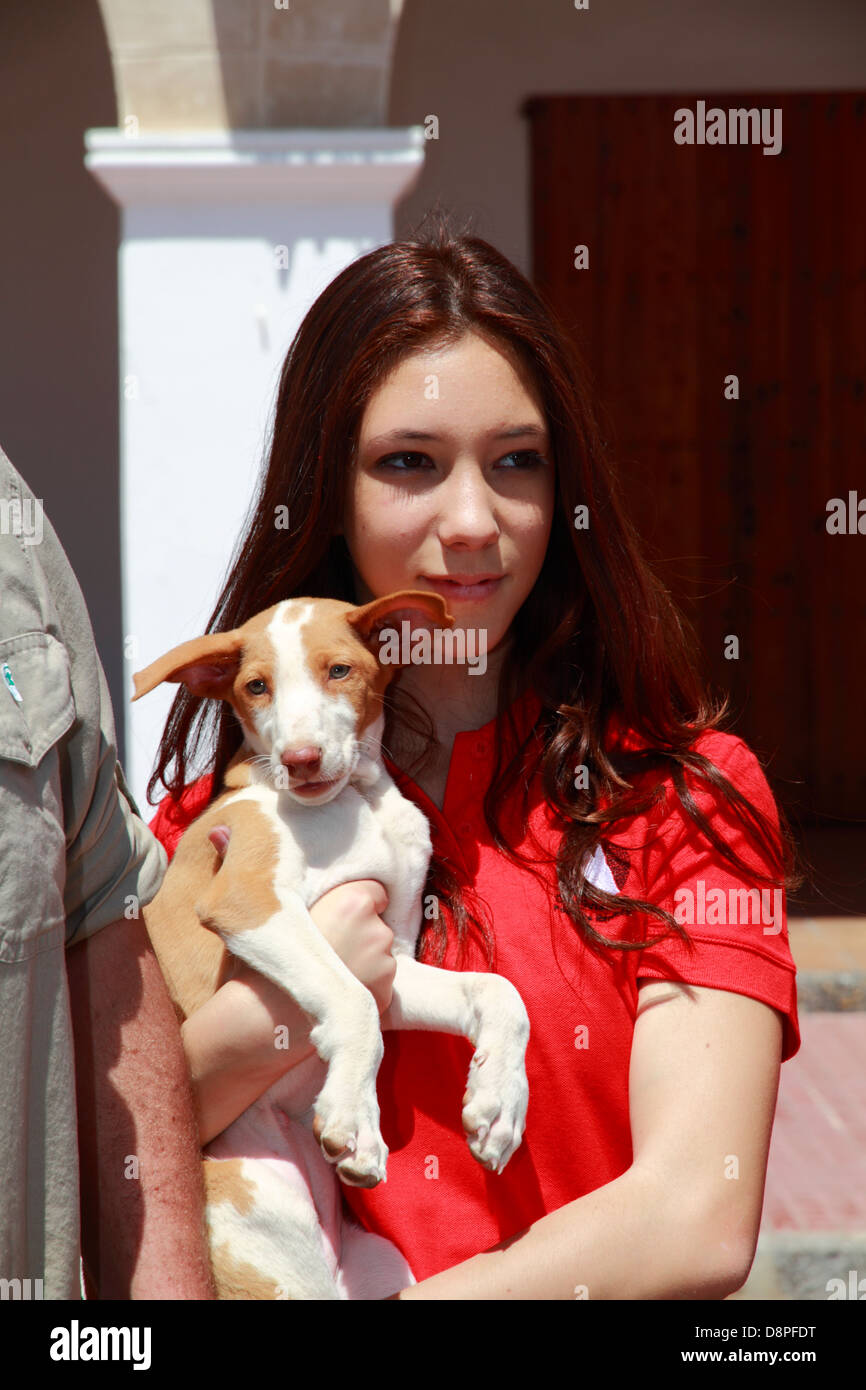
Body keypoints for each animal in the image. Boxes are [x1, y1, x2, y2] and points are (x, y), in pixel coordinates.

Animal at [134, 592, 528, 1295]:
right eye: (255, 687)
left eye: (339, 670)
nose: (300, 761)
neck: (357, 800)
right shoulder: (252, 899)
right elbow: (352, 1002)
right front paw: (354, 1120)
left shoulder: (393, 962)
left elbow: (500, 992)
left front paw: (498, 1102)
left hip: (383, 1268)